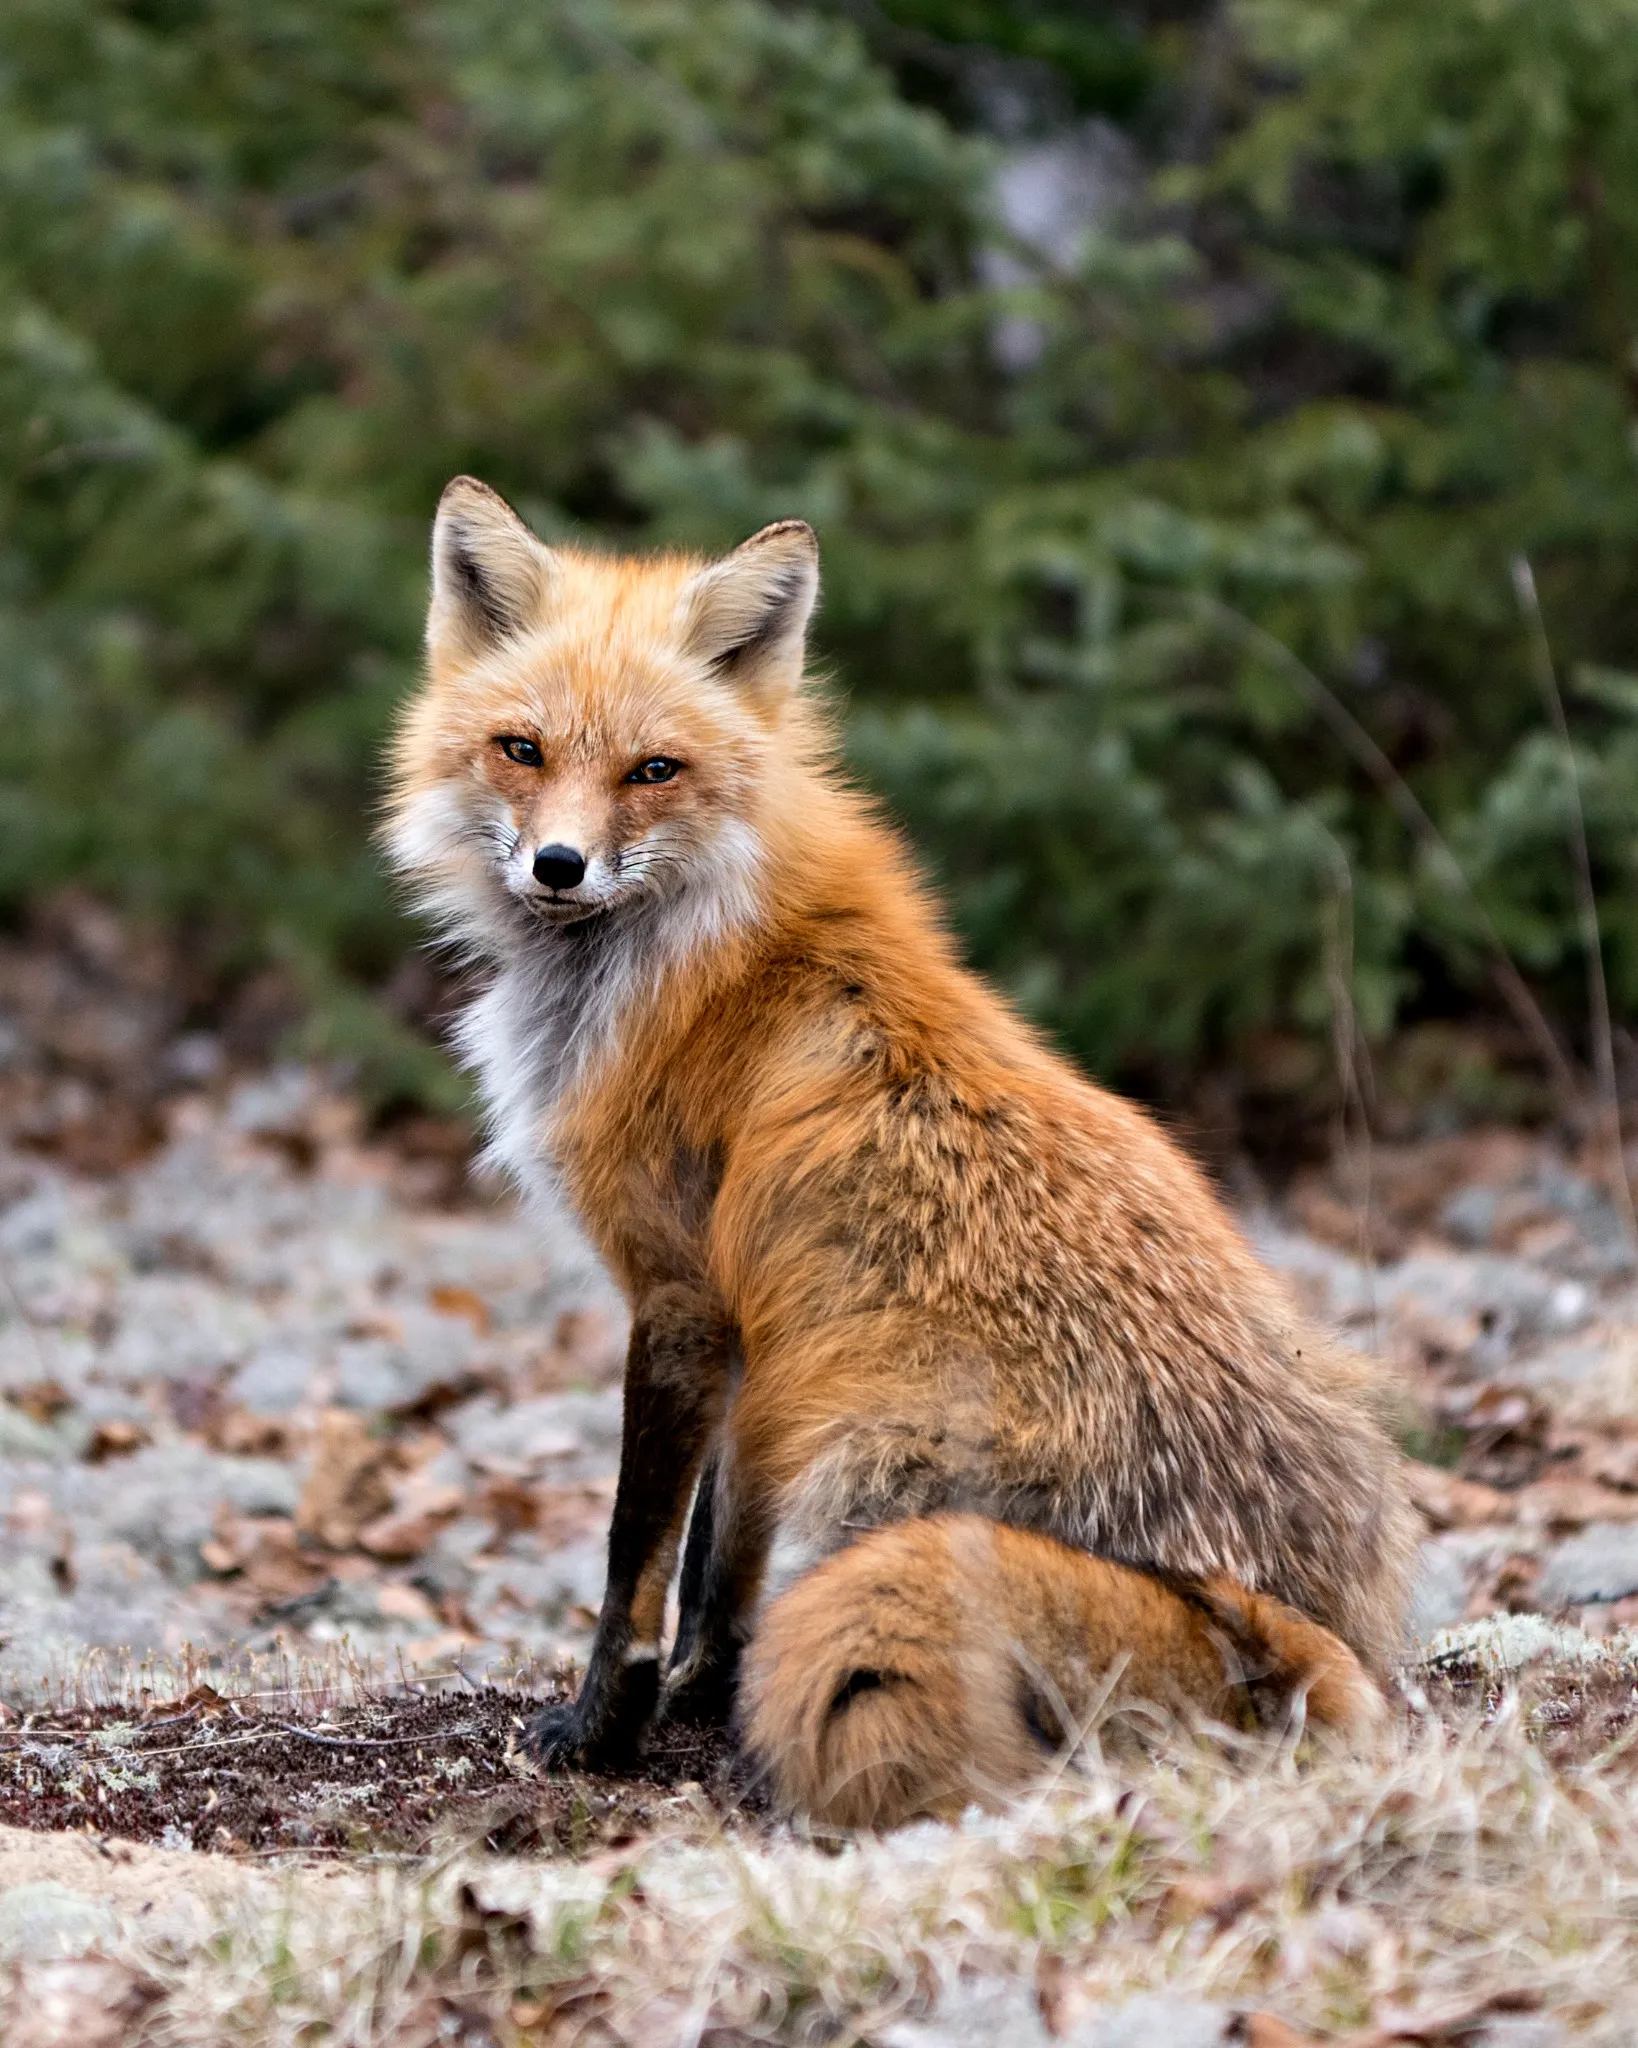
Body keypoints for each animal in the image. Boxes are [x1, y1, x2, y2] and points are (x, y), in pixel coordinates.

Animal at [386, 475, 1415, 1821]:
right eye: (522, 749)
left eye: (654, 770)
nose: (560, 865)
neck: (699, 944)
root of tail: (1301, 1625)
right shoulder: (760, 1332)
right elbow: (722, 1551)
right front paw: (700, 1692)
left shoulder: (680, 1293)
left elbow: (637, 1553)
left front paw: (600, 1726)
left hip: (866, 1465)